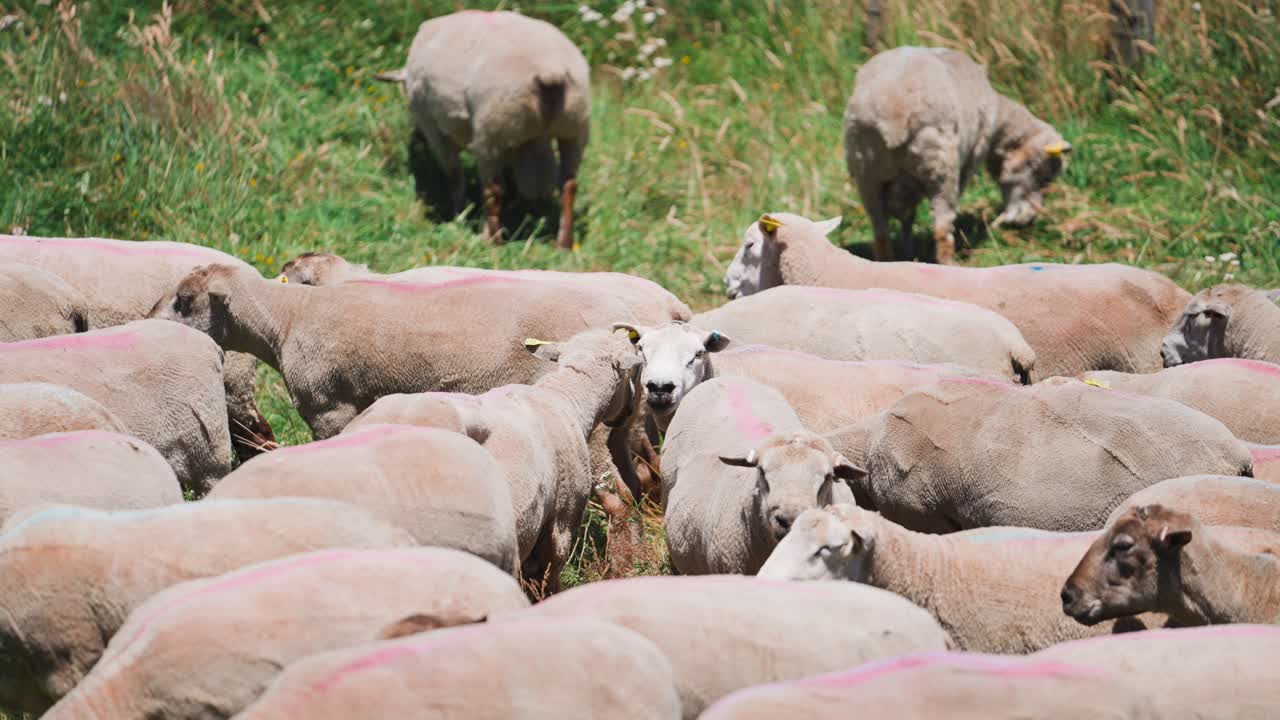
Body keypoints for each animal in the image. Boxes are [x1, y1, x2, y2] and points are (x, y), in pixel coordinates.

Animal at [377, 11, 590, 247]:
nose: (417, 135)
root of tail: (549, 70)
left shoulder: (435, 132)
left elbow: (454, 176)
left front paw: (458, 214)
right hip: (574, 129)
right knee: (568, 184)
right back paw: (563, 242)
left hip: (491, 134)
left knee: (493, 189)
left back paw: (492, 239)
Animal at [843, 46, 1071, 264]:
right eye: (1044, 177)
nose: (1028, 222)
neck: (999, 122)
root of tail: (894, 116)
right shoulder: (971, 160)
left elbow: (908, 218)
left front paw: (908, 251)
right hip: (942, 168)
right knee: (942, 228)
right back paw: (948, 262)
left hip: (867, 176)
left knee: (880, 232)